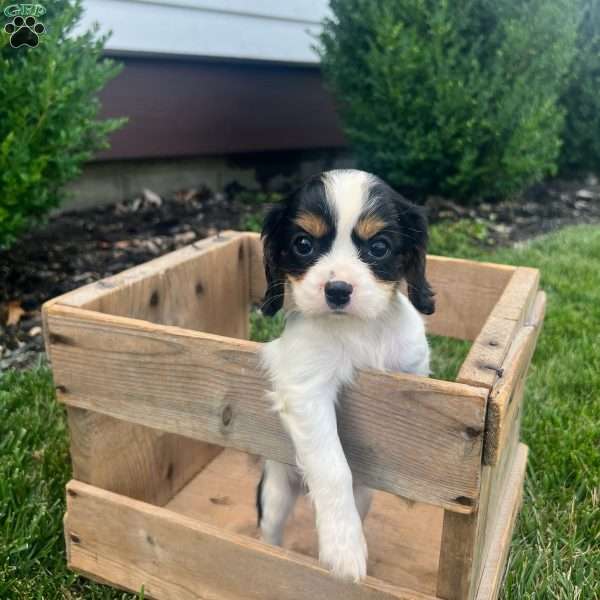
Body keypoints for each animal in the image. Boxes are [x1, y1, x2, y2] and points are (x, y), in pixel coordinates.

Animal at [255, 169, 434, 580]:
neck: (359, 330)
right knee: (269, 528)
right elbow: (334, 467)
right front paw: (344, 548)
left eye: (379, 247)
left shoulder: (412, 372)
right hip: (275, 489)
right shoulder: (306, 390)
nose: (337, 290)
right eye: (303, 244)